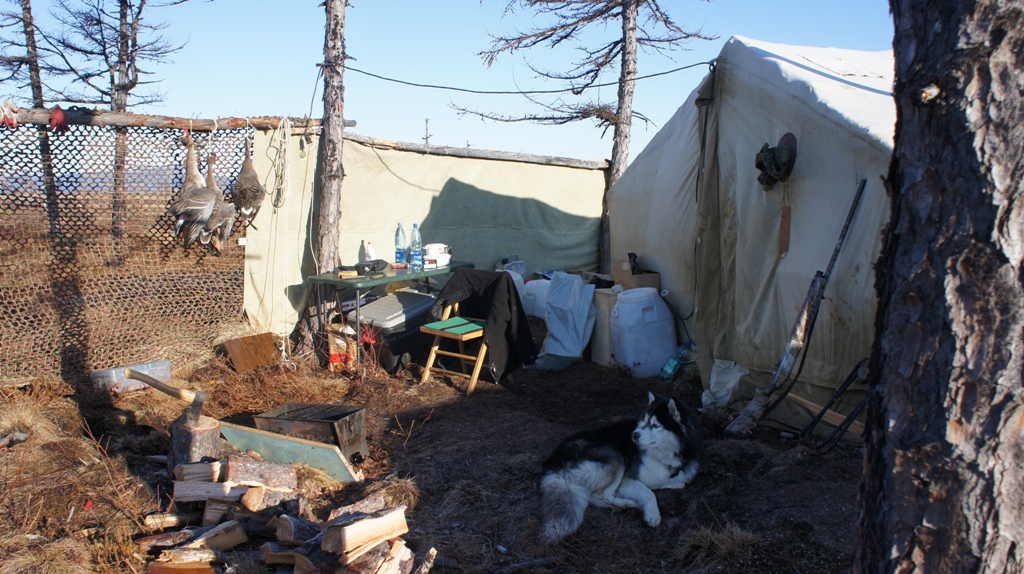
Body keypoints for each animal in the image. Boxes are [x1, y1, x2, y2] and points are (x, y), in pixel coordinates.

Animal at [538, 392, 703, 544]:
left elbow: (677, 483)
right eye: (644, 421)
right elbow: (649, 493)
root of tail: (552, 465)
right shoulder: (627, 480)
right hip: (615, 458)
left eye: (656, 425)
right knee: (598, 497)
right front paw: (653, 514)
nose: (634, 435)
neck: (664, 455)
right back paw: (628, 504)